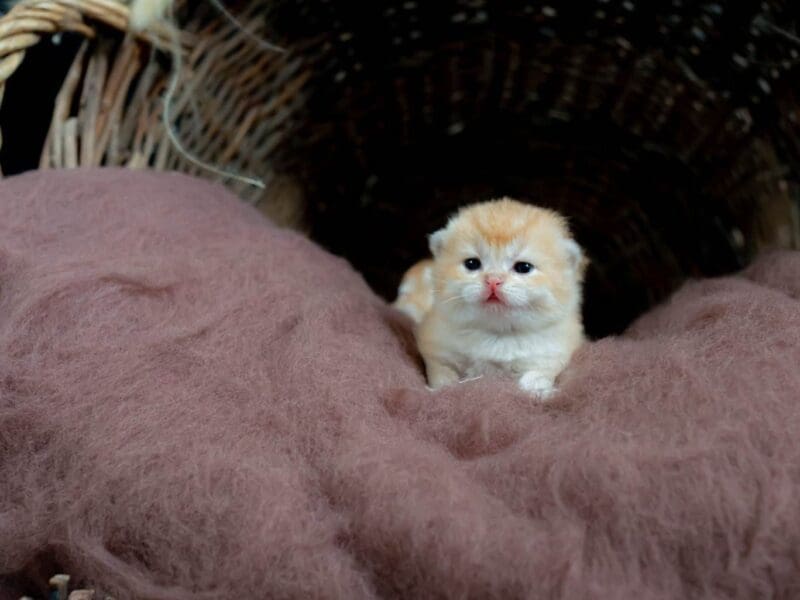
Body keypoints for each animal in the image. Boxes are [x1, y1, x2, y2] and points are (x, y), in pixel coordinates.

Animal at [396, 197, 588, 400]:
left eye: (523, 267)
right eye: (472, 263)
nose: (493, 281)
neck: (497, 334)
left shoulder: (551, 355)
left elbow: (537, 375)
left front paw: (537, 391)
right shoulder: (436, 349)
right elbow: (442, 373)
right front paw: (443, 388)